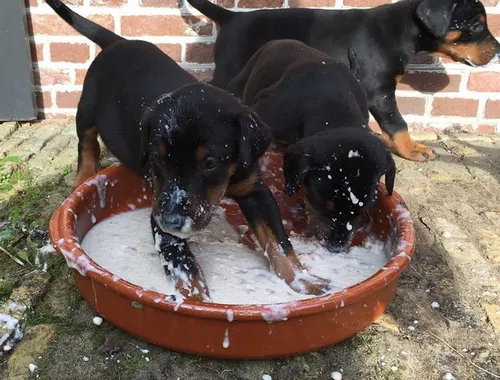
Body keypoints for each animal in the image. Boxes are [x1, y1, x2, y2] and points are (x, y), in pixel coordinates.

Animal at [46, 1, 328, 302]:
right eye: (158, 157)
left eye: (210, 163)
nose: (171, 220)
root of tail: (118, 42)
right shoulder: (161, 204)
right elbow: (181, 260)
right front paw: (197, 301)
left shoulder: (255, 190)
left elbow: (279, 241)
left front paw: (305, 282)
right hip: (87, 108)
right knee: (87, 145)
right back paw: (82, 179)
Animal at [188, 0, 500, 162]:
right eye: (475, 24)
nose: (497, 49)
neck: (403, 29)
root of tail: (231, 18)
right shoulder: (379, 89)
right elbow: (397, 122)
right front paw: (412, 149)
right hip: (231, 71)